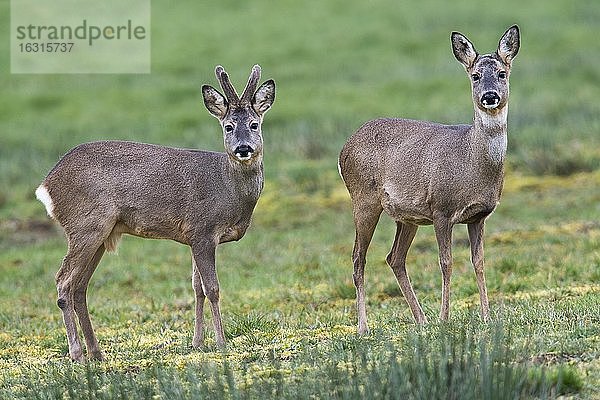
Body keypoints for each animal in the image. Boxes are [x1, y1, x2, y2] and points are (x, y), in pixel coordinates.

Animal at [38, 65, 278, 360]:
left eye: (255, 124)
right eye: (228, 126)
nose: (243, 148)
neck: (227, 187)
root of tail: (46, 186)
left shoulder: (193, 236)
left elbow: (196, 288)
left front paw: (197, 343)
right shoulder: (203, 229)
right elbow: (212, 289)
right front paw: (221, 343)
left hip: (100, 234)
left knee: (79, 286)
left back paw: (96, 352)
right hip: (86, 225)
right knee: (63, 281)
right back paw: (77, 354)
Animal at [340, 25, 516, 334]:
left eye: (502, 73)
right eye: (475, 75)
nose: (490, 96)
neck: (471, 162)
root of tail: (343, 151)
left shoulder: (478, 216)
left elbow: (479, 262)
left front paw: (487, 317)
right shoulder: (441, 210)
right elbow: (446, 262)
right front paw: (446, 318)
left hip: (406, 217)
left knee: (394, 257)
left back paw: (421, 319)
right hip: (363, 199)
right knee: (358, 257)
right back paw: (363, 328)